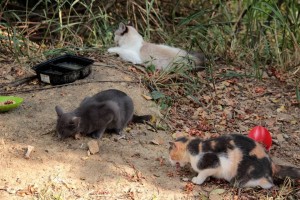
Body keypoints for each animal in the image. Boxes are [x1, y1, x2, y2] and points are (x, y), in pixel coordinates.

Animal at [169, 134, 300, 188]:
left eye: (170, 155)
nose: (169, 161)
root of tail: (272, 164)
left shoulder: (213, 162)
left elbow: (203, 173)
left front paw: (197, 180)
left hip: (243, 176)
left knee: (268, 184)